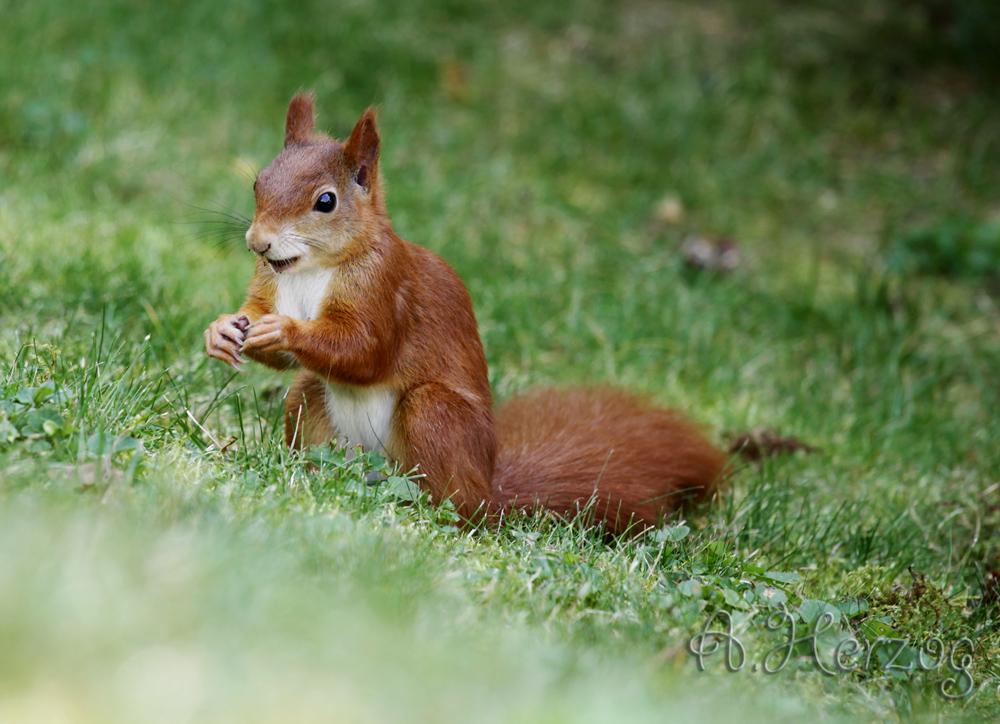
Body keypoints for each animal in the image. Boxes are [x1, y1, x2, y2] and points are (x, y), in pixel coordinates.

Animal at [205, 93, 728, 536]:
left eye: (325, 201)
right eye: (259, 181)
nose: (257, 242)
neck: (311, 269)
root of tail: (490, 494)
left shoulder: (386, 288)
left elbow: (365, 350)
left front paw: (285, 330)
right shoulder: (269, 284)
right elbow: (259, 318)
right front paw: (221, 330)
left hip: (435, 416)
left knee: (454, 505)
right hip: (310, 401)